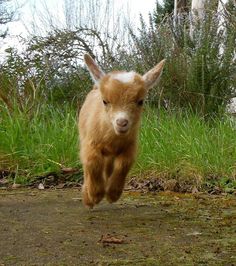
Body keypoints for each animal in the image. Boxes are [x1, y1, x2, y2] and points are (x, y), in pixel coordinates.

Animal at [78, 54, 165, 208]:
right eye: (105, 101)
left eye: (140, 101)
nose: (122, 123)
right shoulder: (89, 143)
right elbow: (92, 162)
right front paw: (94, 195)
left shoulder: (130, 146)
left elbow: (124, 164)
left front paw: (112, 194)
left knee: (108, 166)